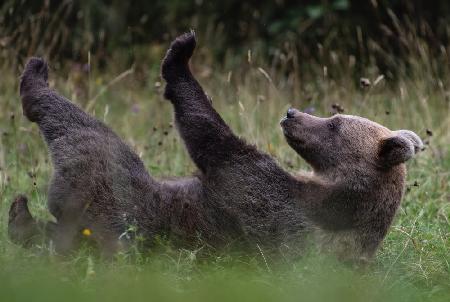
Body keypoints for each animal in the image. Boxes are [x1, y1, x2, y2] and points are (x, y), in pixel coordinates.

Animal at [7, 31, 422, 260]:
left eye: (335, 124)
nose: (291, 113)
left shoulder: (270, 199)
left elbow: (213, 139)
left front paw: (180, 54)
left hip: (110, 197)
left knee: (85, 136)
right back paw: (21, 218)